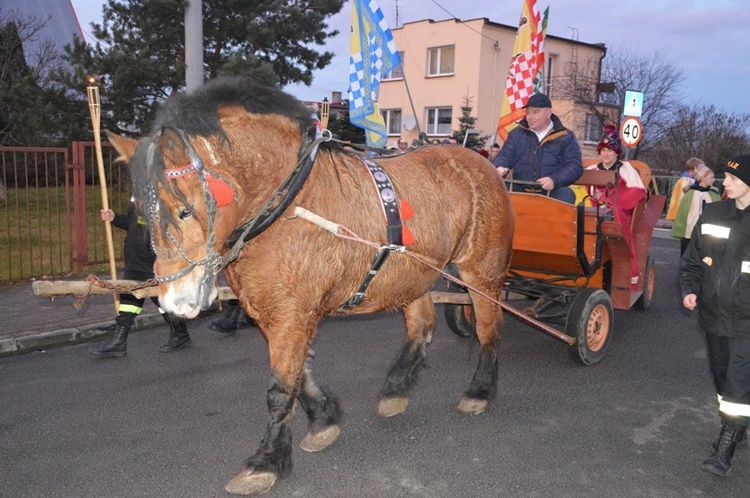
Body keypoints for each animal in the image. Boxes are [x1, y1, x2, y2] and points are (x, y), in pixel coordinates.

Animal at [107, 78, 516, 494]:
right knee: (422, 323)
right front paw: (324, 419)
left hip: (481, 271)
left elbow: (279, 388)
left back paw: (479, 391)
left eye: (185, 210)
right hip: (411, 272)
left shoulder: (292, 313)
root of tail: (479, 161)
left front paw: (266, 461)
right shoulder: (272, 311)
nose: (175, 301)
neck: (287, 204)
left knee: (489, 326)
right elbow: (298, 373)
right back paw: (396, 390)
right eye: (142, 214)